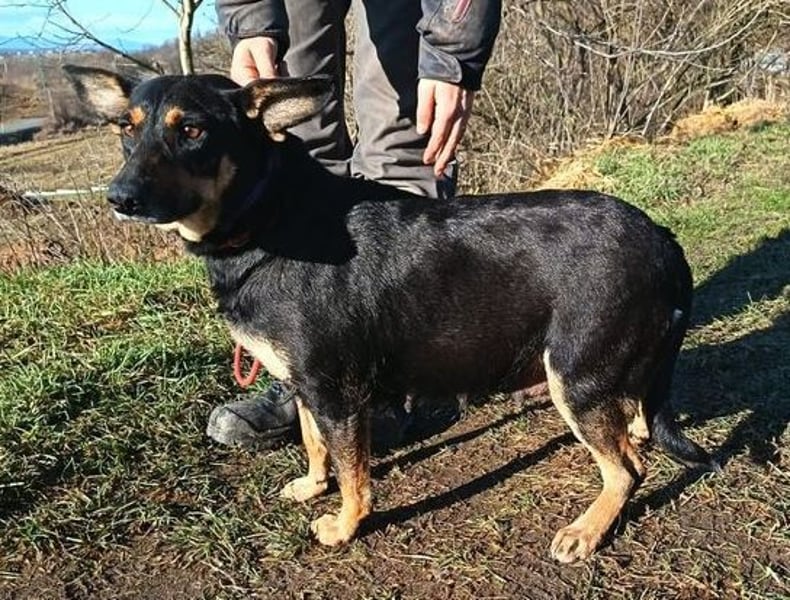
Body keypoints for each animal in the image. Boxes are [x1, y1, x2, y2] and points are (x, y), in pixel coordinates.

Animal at [64, 65, 716, 563]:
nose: (119, 199)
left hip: (574, 376)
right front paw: (312, 485)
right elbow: (315, 445)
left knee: (627, 469)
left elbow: (355, 475)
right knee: (634, 422)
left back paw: (586, 530)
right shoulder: (307, 388)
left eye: (193, 130)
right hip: (601, 373)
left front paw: (344, 525)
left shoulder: (337, 392)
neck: (269, 220)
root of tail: (661, 237)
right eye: (126, 131)